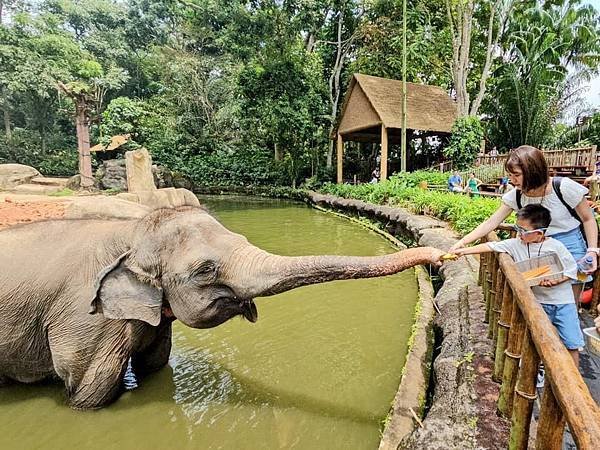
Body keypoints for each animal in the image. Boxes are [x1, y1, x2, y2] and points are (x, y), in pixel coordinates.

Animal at [0, 206, 446, 410]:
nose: (440, 258)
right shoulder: (84, 320)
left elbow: (155, 366)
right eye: (205, 269)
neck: (134, 230)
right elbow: (88, 394)